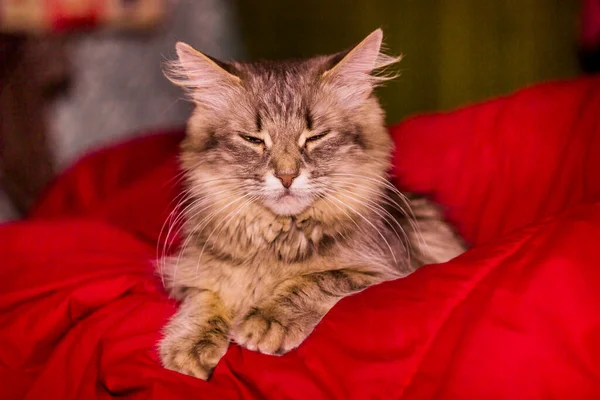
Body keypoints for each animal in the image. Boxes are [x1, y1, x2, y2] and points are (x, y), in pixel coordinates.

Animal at [156, 29, 464, 380]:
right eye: (253, 140)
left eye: (316, 137)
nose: (286, 176)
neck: (278, 241)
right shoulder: (190, 274)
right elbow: (203, 300)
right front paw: (190, 347)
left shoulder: (389, 273)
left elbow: (315, 280)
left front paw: (266, 321)